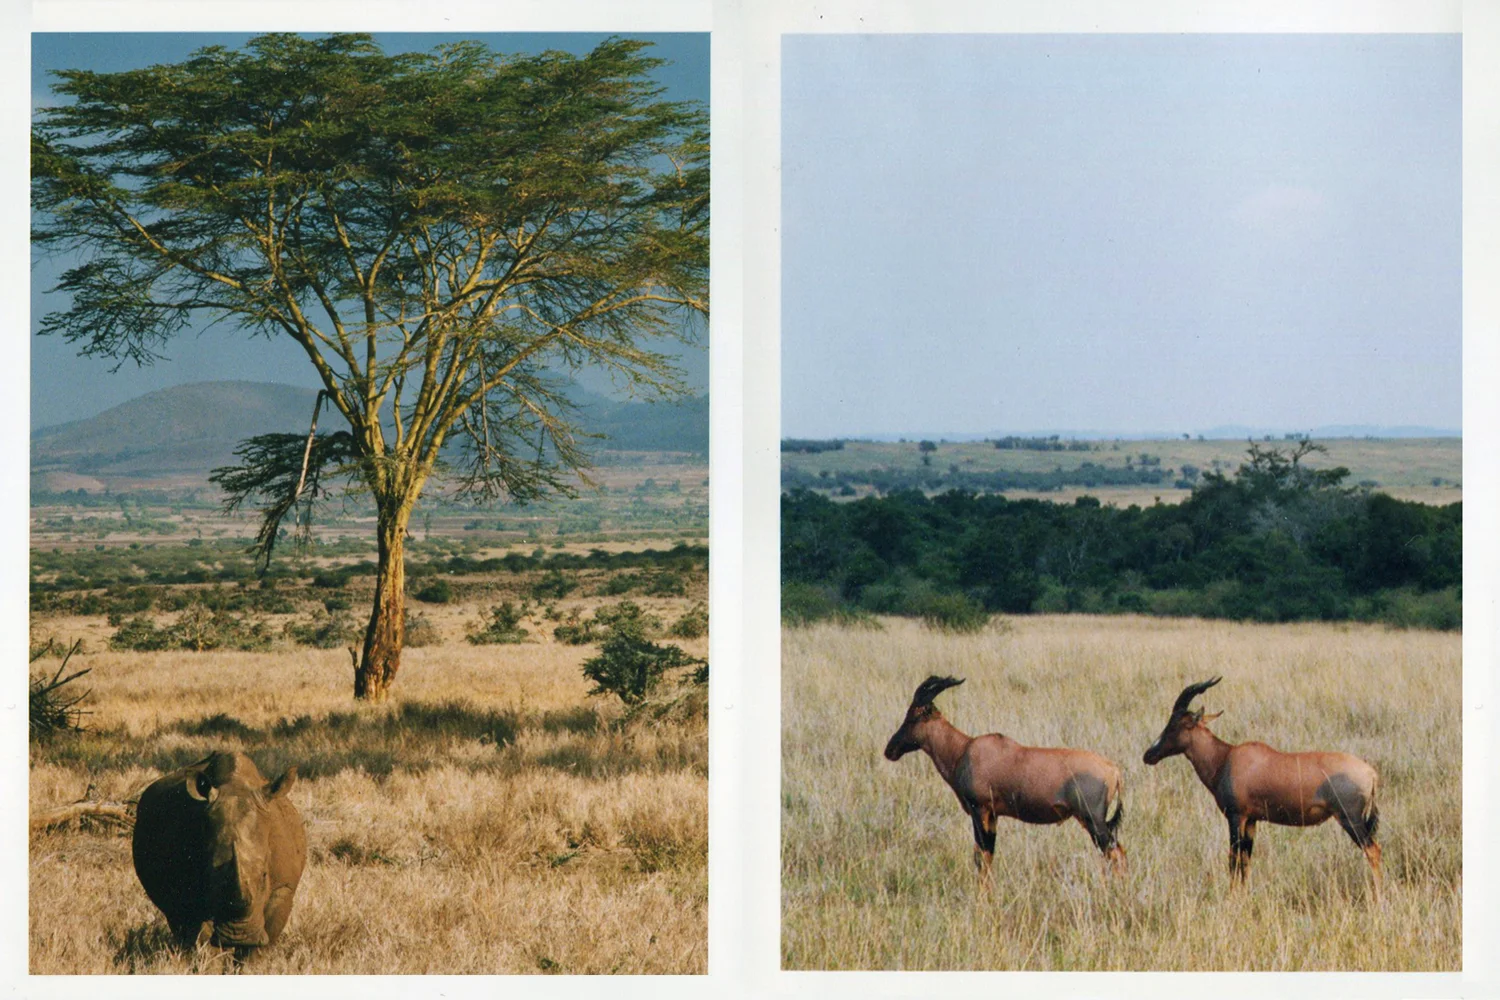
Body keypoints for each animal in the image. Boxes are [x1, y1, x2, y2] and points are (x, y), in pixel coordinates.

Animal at [131, 750, 307, 955]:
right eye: (208, 875)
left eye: (264, 875)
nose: (239, 937)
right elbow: (201, 937)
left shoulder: (283, 886)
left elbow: (264, 939)